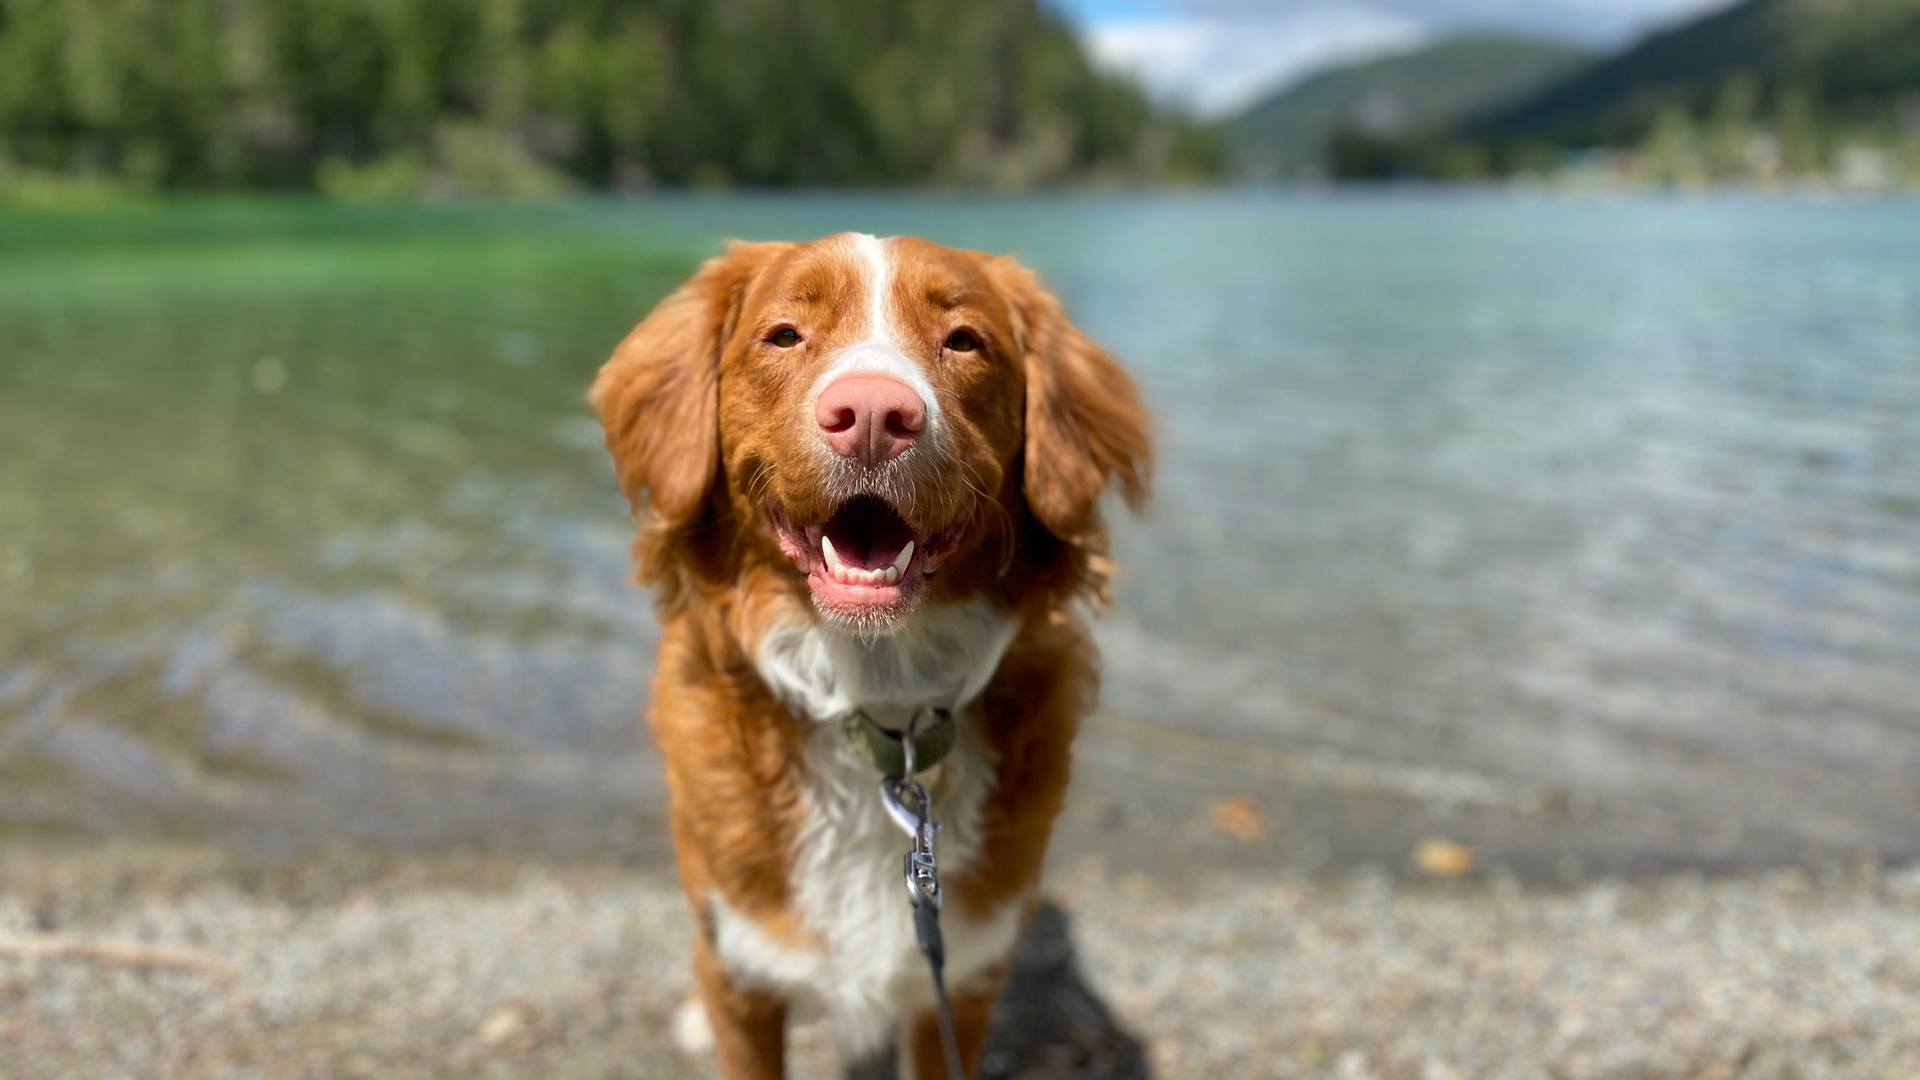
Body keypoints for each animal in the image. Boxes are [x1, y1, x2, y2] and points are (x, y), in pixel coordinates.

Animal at [591, 233, 1144, 1076]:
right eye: (785, 335)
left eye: (965, 341)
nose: (876, 417)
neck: (878, 697)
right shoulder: (744, 974)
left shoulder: (959, 986)